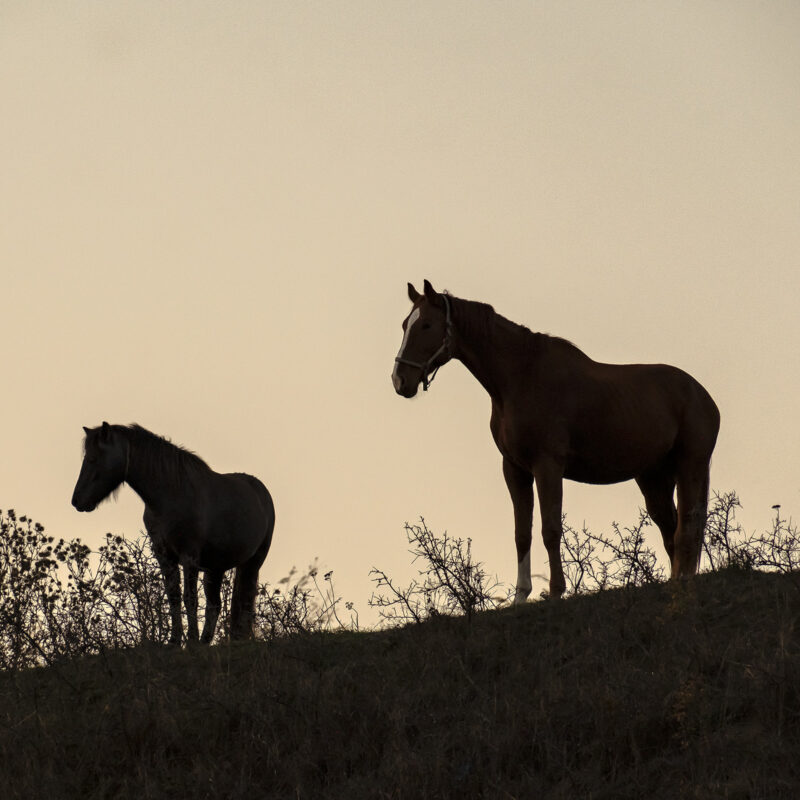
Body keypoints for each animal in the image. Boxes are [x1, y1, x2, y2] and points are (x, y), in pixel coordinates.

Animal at [72, 424, 278, 644]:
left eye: (93, 459)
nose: (77, 500)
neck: (170, 496)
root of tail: (261, 491)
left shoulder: (189, 557)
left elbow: (190, 599)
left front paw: (191, 641)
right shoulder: (164, 556)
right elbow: (173, 596)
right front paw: (174, 641)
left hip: (252, 563)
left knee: (244, 604)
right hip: (216, 569)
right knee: (215, 605)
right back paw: (206, 642)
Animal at [392, 280, 720, 600]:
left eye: (427, 325)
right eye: (405, 324)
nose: (400, 380)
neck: (520, 378)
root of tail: (701, 395)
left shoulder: (547, 466)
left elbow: (550, 530)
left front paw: (555, 591)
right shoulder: (514, 469)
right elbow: (521, 533)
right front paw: (521, 595)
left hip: (690, 466)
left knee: (687, 527)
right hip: (653, 478)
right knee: (671, 529)